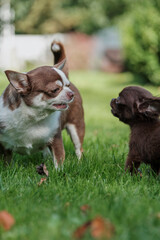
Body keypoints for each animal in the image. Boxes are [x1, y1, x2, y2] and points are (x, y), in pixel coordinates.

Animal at [0, 41, 85, 169]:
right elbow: (7, 163)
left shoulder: (56, 139)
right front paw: (7, 171)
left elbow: (59, 159)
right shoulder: (5, 146)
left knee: (79, 148)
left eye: (67, 85)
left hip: (77, 126)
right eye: (55, 90)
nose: (71, 93)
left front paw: (58, 172)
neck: (33, 117)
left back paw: (80, 163)